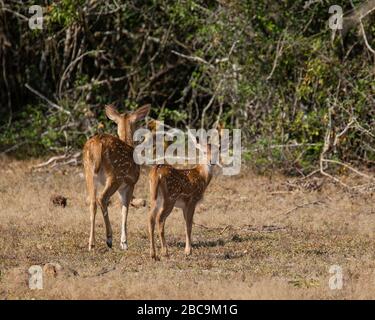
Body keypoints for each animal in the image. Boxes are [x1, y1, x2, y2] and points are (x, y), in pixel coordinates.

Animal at [83, 104, 150, 251]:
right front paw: (124, 243)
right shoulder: (130, 183)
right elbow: (125, 210)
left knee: (92, 202)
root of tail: (97, 144)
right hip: (115, 176)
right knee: (101, 198)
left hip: (89, 172)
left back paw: (91, 244)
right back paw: (109, 239)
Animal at [148, 128, 222, 260]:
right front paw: (188, 251)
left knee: (150, 218)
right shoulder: (192, 200)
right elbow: (189, 225)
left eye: (216, 152)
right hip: (170, 198)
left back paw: (153, 254)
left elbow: (185, 223)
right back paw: (165, 252)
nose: (211, 162)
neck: (202, 177)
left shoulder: (184, 205)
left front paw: (187, 250)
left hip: (154, 197)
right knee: (159, 219)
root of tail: (156, 172)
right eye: (204, 152)